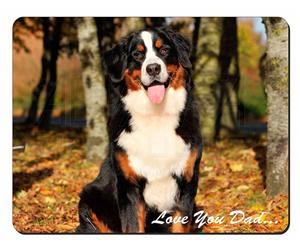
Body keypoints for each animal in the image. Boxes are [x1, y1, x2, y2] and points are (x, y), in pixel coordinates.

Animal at [76, 26, 203, 233]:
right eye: (137, 54)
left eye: (164, 50)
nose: (153, 68)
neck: (156, 115)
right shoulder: (129, 185)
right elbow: (134, 225)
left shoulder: (187, 180)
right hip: (90, 197)